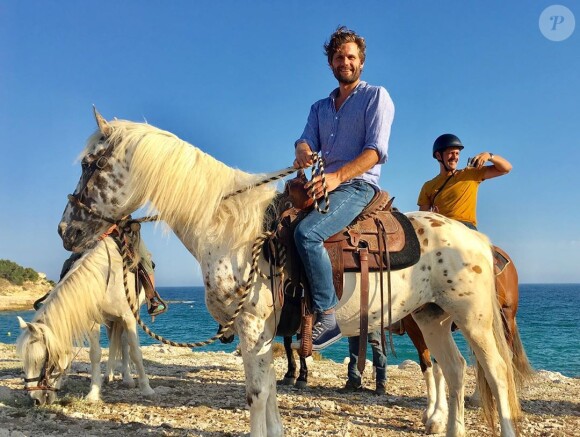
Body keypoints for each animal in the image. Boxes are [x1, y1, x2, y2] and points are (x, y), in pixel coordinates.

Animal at [16, 237, 154, 404]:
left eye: (41, 359)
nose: (35, 399)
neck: (106, 277)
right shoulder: (93, 321)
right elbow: (95, 354)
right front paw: (93, 393)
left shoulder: (128, 318)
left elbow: (135, 353)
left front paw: (146, 388)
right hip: (110, 321)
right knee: (114, 342)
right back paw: (109, 375)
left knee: (124, 343)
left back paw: (127, 378)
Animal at [59, 109, 524, 436]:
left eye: (90, 164)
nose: (67, 230)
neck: (231, 228)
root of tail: (476, 240)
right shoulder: (261, 332)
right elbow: (266, 390)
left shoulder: (252, 325)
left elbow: (256, 393)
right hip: (431, 317)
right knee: (455, 370)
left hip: (474, 319)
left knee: (497, 375)